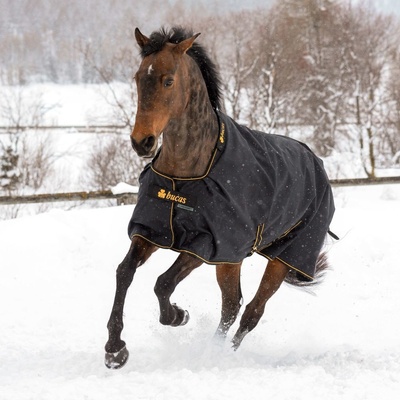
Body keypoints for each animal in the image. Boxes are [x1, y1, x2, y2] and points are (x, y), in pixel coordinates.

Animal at [104, 25, 336, 368]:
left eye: (168, 80)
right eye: (137, 77)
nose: (141, 142)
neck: (185, 174)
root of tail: (315, 162)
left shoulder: (205, 244)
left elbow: (163, 283)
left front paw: (178, 316)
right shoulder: (153, 232)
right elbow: (124, 272)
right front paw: (115, 349)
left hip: (281, 257)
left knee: (251, 311)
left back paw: (218, 356)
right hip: (231, 260)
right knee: (231, 305)